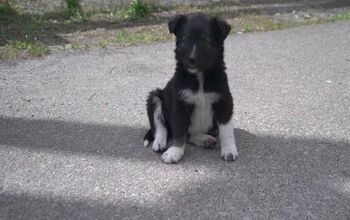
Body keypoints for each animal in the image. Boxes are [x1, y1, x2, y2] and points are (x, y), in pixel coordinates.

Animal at [143, 12, 238, 163]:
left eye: (205, 42)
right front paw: (175, 151)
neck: (199, 76)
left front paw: (229, 150)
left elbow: (226, 128)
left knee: (190, 134)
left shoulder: (224, 100)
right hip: (155, 97)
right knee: (161, 126)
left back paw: (205, 139)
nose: (191, 60)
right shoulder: (180, 104)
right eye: (184, 41)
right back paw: (159, 142)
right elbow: (179, 131)